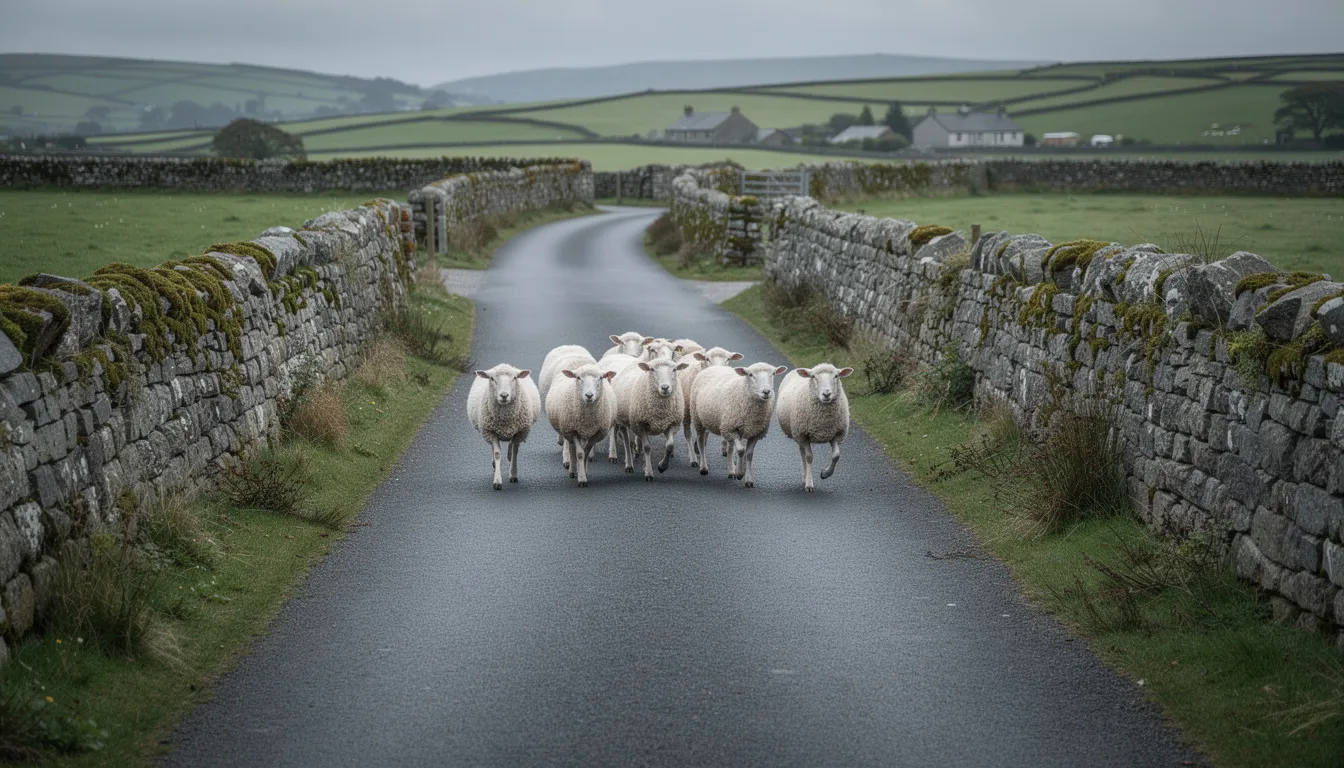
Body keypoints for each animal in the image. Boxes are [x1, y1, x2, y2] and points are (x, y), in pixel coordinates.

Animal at [777, 364, 854, 492]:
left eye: (836, 376)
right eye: (813, 377)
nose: (826, 394)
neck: (823, 421)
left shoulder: (836, 435)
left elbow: (836, 456)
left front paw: (825, 474)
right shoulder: (804, 435)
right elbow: (809, 457)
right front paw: (809, 484)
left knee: (802, 451)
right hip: (799, 434)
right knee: (803, 455)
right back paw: (805, 477)